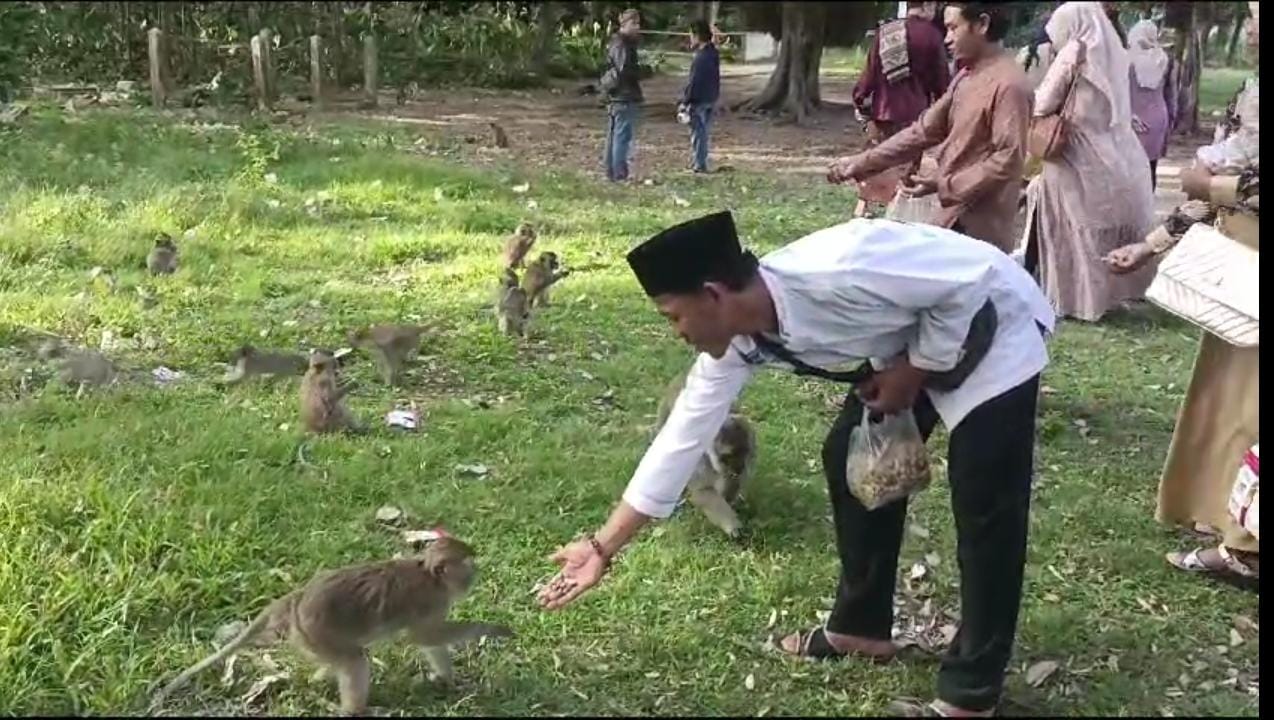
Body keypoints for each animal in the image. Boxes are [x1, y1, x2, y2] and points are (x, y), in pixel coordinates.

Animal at [155, 532, 517, 713]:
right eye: (467, 564)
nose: (475, 573)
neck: (430, 575)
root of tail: (297, 598)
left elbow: (430, 641)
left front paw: (447, 680)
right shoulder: (430, 602)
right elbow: (423, 637)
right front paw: (492, 629)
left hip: (311, 639)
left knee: (343, 660)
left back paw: (321, 679)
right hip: (315, 632)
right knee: (355, 661)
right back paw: (354, 710)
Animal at [657, 374, 754, 535]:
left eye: (745, 452)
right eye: (727, 457)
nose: (738, 468)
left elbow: (731, 481)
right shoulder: (697, 460)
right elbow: (702, 490)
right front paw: (731, 524)